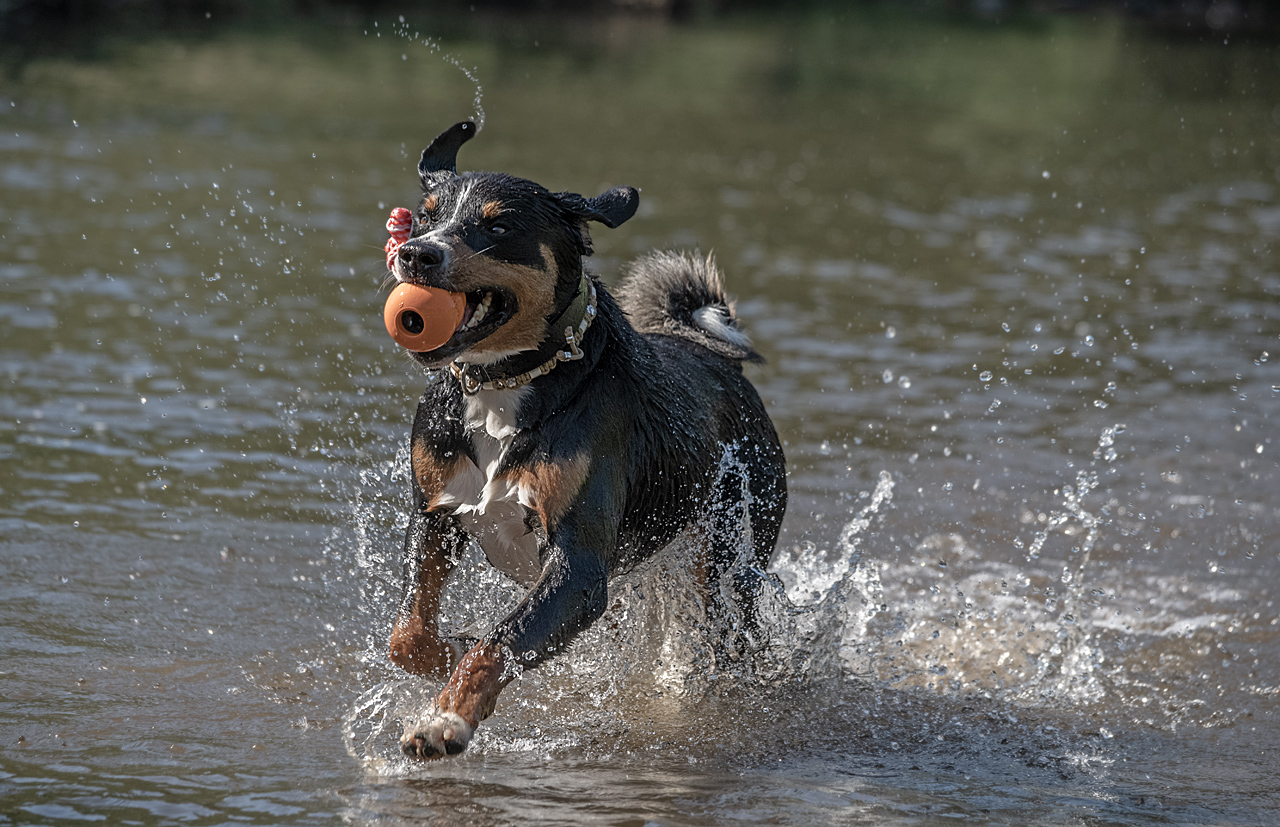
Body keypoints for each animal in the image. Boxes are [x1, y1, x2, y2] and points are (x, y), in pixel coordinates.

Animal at [378, 119, 783, 762]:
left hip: (728, 563)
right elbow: (410, 634)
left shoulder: (579, 567)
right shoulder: (434, 516)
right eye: (424, 217)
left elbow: (500, 641)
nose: (418, 253)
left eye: (498, 225)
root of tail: (716, 357)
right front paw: (452, 648)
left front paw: (446, 719)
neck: (506, 384)